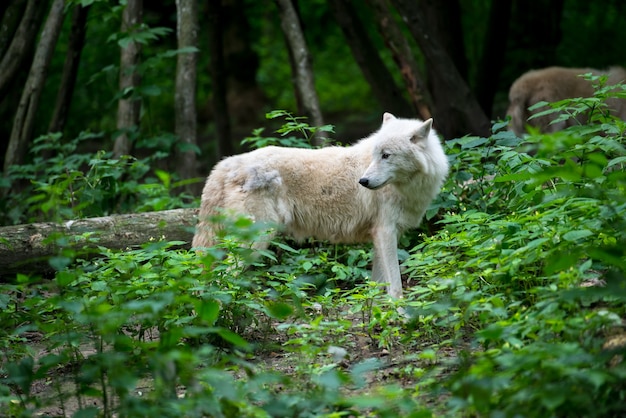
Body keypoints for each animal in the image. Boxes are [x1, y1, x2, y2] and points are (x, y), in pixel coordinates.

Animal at [193, 112, 446, 298]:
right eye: (377, 155)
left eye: (386, 155)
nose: (363, 182)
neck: (409, 187)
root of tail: (227, 163)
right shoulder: (385, 232)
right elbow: (396, 286)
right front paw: (399, 316)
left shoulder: (381, 235)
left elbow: (377, 283)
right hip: (256, 241)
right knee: (223, 278)